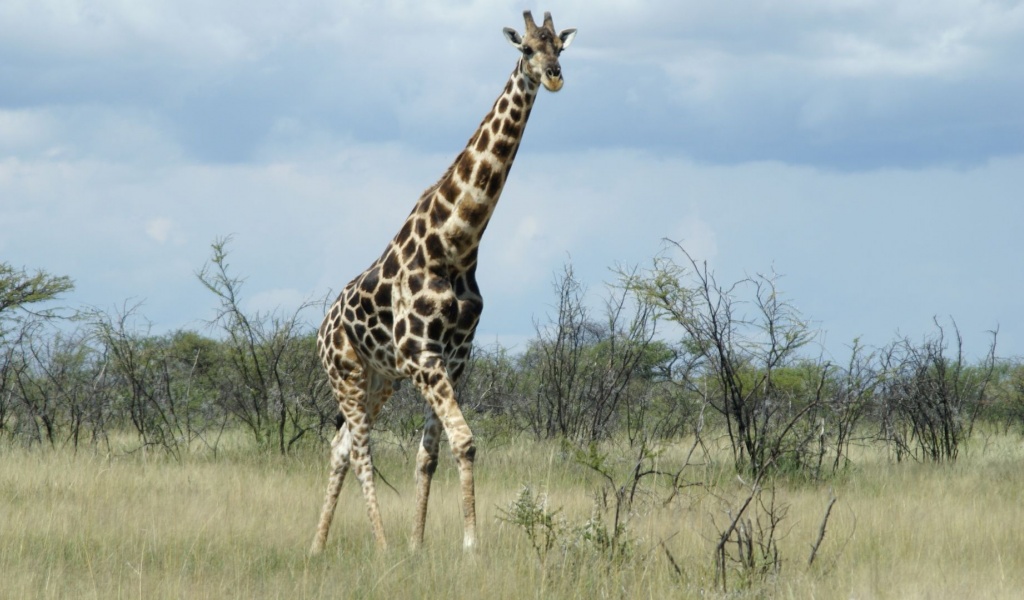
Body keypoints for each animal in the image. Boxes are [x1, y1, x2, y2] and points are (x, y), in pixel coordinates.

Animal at [309, 10, 577, 552]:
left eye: (560, 47)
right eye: (527, 49)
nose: (555, 76)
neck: (456, 245)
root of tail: (321, 329)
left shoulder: (453, 361)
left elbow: (431, 452)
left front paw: (420, 544)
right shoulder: (423, 355)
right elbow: (464, 440)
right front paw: (469, 545)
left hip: (379, 378)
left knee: (340, 445)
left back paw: (318, 546)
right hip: (345, 373)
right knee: (361, 450)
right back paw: (380, 545)